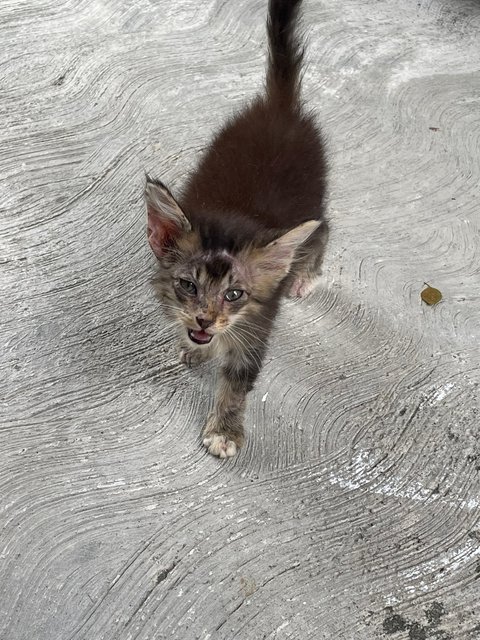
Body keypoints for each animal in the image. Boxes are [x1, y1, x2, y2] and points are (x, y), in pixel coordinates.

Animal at [144, 0, 328, 460]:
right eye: (188, 286)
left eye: (234, 295)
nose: (205, 321)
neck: (233, 216)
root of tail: (279, 108)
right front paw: (195, 347)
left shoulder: (258, 322)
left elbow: (239, 380)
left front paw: (225, 430)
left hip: (316, 201)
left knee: (323, 230)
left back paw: (304, 275)